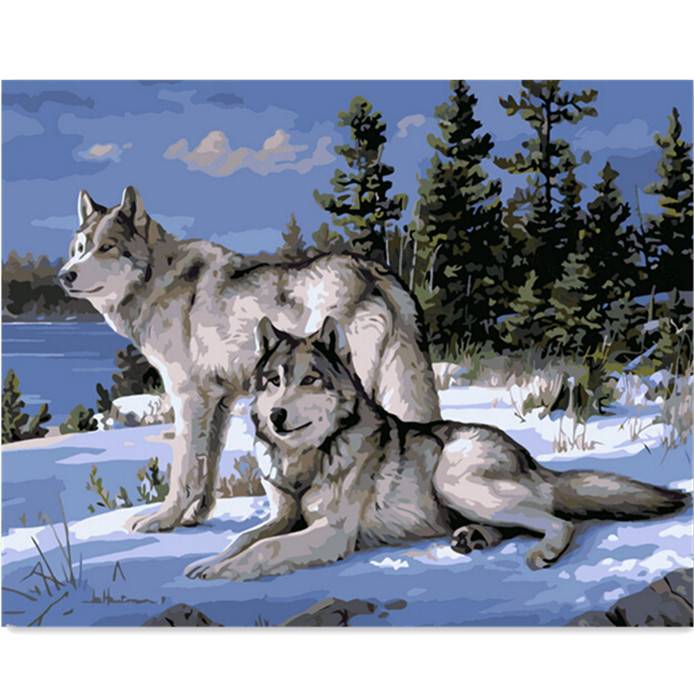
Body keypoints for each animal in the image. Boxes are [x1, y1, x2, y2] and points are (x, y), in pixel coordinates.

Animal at [58, 186, 441, 533]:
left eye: (106, 247)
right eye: (79, 249)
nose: (65, 275)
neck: (158, 282)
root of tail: (373, 271)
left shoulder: (188, 399)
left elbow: (184, 469)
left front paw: (163, 520)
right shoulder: (220, 402)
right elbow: (208, 468)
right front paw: (195, 517)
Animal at [185, 317, 688, 581]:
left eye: (310, 379)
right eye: (273, 381)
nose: (276, 416)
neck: (306, 460)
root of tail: (530, 458)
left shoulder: (331, 533)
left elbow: (265, 550)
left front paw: (220, 571)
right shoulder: (283, 516)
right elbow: (244, 539)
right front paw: (207, 561)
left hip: (453, 479)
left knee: (560, 522)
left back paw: (541, 553)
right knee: (521, 523)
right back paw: (474, 538)